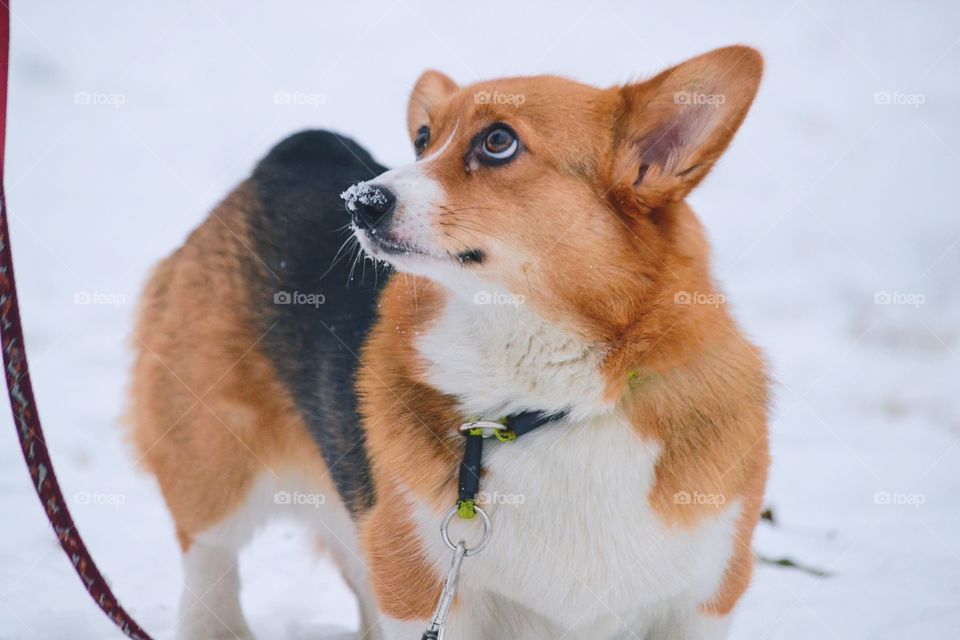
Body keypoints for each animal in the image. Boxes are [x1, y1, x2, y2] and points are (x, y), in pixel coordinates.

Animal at [131, 46, 768, 640]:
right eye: (422, 139)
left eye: (498, 141)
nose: (359, 201)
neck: (552, 405)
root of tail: (298, 150)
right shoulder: (421, 591)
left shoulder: (702, 601)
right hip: (213, 465)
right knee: (210, 566)